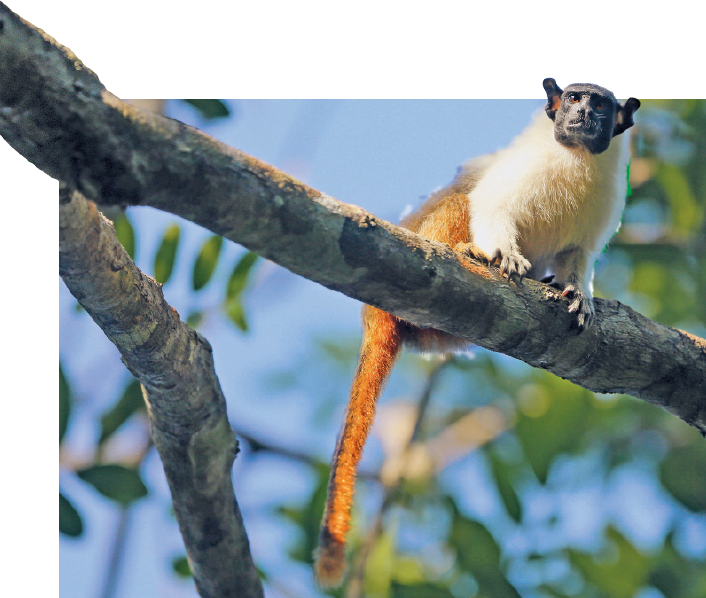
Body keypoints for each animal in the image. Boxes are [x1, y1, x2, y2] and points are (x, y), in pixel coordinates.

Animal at [314, 77, 640, 588]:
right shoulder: (521, 171)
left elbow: (578, 256)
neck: (577, 161)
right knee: (461, 198)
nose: (583, 114)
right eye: (573, 98)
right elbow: (490, 205)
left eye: (601, 105)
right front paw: (502, 254)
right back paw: (468, 252)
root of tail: (374, 314)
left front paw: (577, 293)